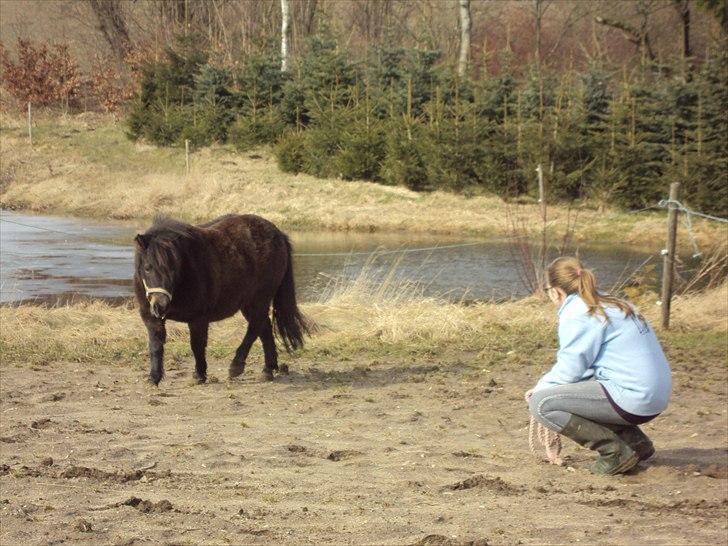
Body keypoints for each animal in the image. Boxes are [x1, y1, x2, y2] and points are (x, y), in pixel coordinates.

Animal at [135, 212, 312, 382]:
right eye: (147, 267)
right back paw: (268, 370)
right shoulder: (150, 317)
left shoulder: (199, 318)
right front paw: (154, 377)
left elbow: (197, 345)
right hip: (248, 303)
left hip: (260, 299)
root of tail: (279, 233)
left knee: (255, 327)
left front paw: (199, 375)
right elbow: (155, 345)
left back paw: (236, 366)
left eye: (174, 269)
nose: (161, 305)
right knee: (264, 327)